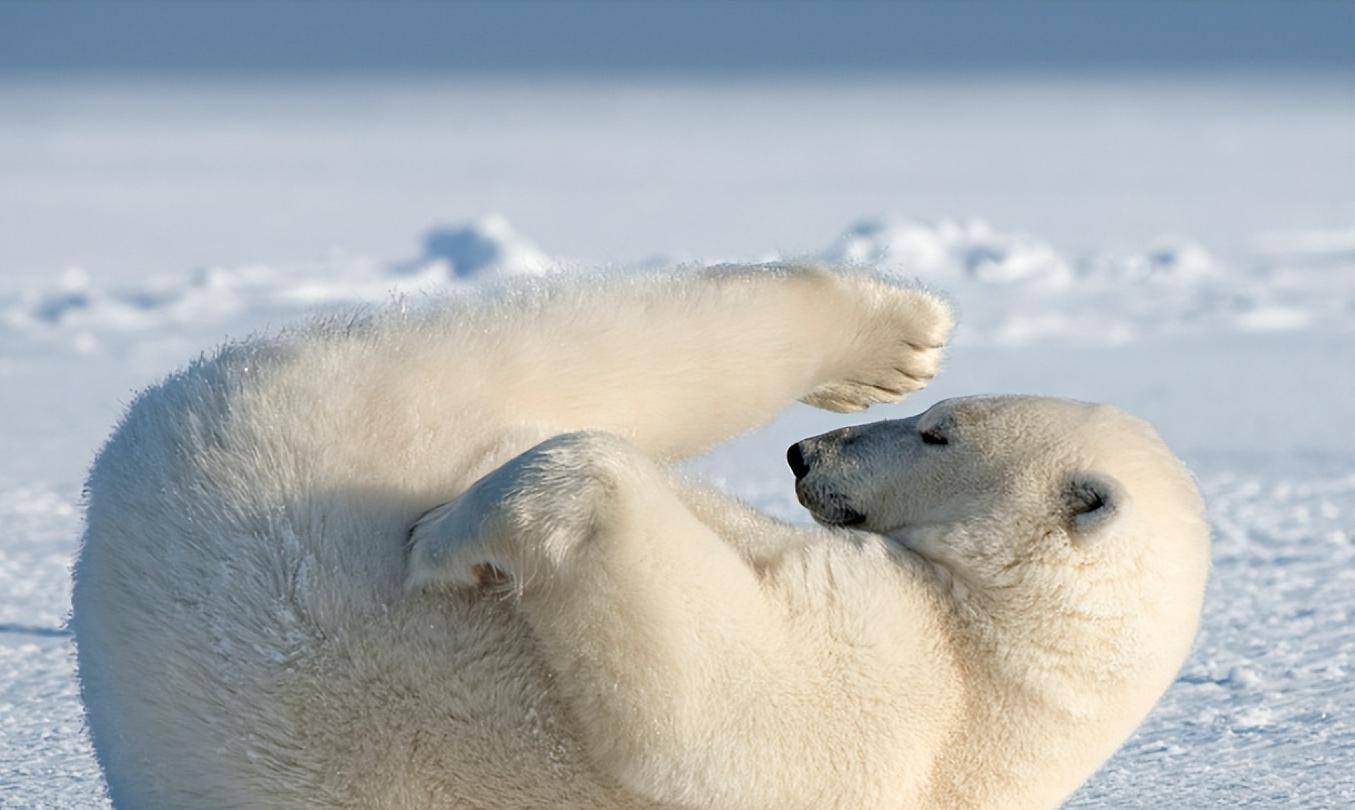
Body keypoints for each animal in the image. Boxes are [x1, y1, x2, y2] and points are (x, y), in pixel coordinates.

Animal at [71, 264, 1208, 807]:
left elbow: (695, 702)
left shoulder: (895, 703)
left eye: (939, 433)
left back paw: (881, 334)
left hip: (348, 415)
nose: (804, 457)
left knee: (614, 349)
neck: (1006, 658)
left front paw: (450, 541)